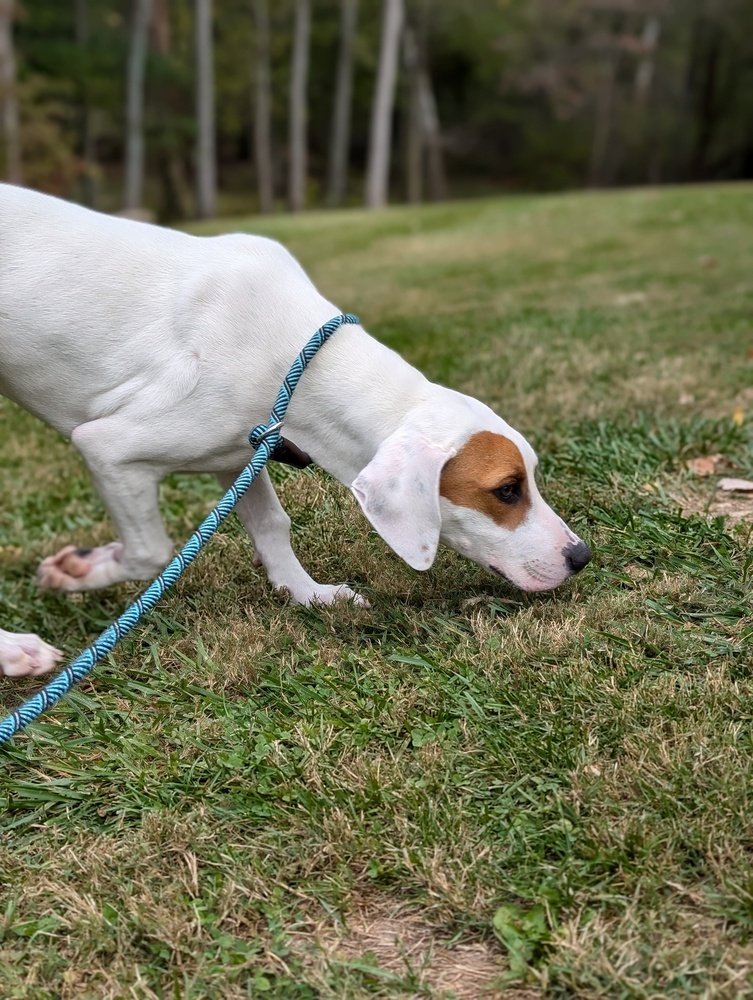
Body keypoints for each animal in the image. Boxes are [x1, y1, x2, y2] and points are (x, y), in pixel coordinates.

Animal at [0, 184, 588, 680]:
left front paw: (305, 593)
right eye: (506, 491)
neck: (303, 362)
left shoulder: (239, 453)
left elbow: (272, 524)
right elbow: (151, 551)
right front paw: (79, 572)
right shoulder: (110, 449)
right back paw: (14, 651)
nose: (580, 557)